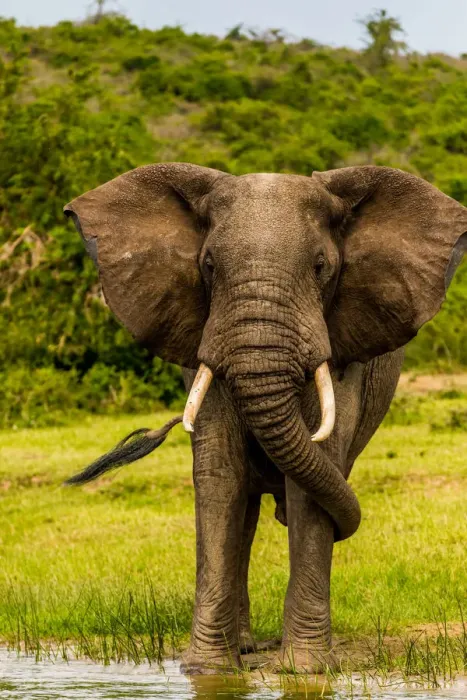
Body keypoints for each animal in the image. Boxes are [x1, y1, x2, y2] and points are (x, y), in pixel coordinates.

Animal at [64, 163, 467, 675]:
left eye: (321, 266)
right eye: (209, 265)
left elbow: (313, 475)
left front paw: (305, 670)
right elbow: (220, 475)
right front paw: (207, 672)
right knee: (247, 510)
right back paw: (243, 647)